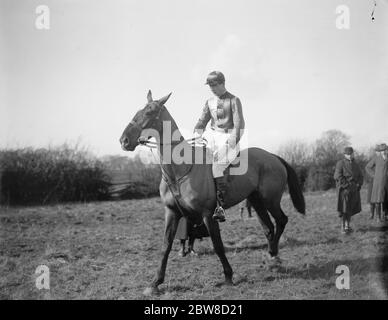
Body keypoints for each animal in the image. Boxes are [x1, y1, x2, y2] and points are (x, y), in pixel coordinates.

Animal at [119, 90, 304, 296]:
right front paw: (155, 283)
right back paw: (271, 255)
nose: (124, 140)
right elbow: (166, 246)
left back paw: (274, 255)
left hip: (270, 200)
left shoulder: (208, 214)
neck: (180, 169)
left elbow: (217, 245)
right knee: (269, 227)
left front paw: (229, 276)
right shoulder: (172, 213)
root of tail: (273, 157)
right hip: (256, 201)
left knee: (281, 220)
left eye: (150, 112)